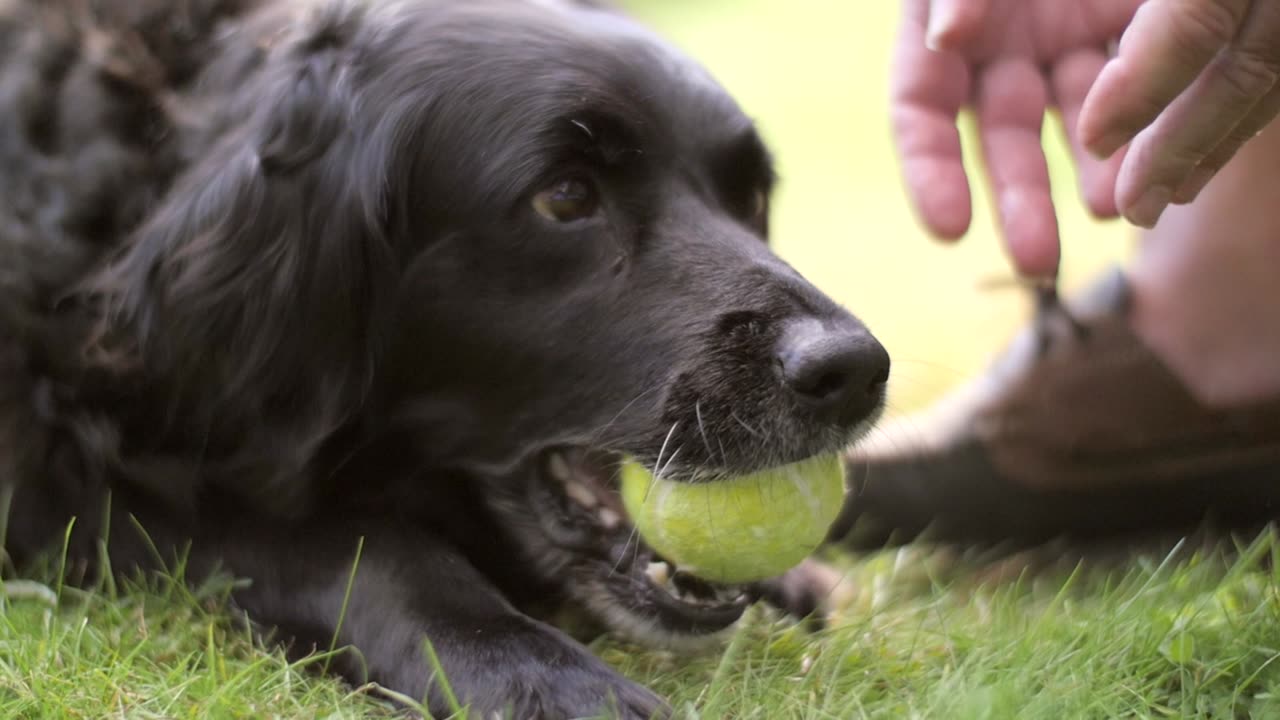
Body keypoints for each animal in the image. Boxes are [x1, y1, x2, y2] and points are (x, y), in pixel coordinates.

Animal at [0, 2, 890, 712]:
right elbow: (358, 545)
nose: (853, 371)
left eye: (750, 196)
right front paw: (533, 671)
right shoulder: (70, 481)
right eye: (565, 196)